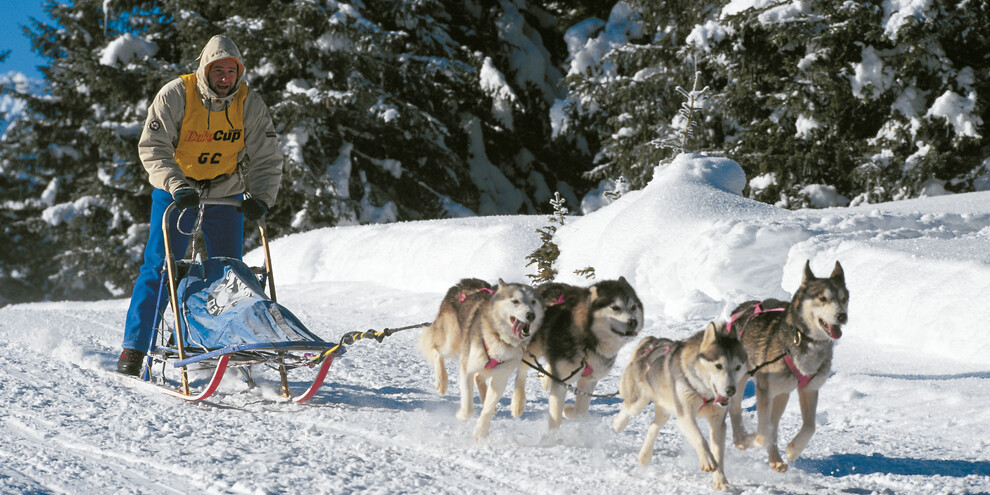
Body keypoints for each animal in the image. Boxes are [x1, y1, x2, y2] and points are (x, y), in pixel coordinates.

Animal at [416, 280, 548, 442]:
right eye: (515, 301)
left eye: (533, 301)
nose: (530, 315)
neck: (500, 339)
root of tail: (463, 282)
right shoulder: (467, 367)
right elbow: (467, 404)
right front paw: (462, 415)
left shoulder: (500, 377)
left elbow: (488, 407)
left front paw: (481, 430)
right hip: (451, 340)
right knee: (436, 351)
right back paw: (442, 382)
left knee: (480, 378)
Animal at [512, 280, 644, 430]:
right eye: (615, 307)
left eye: (633, 307)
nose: (633, 321)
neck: (589, 342)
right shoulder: (561, 381)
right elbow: (555, 414)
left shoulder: (589, 380)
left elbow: (581, 411)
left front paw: (567, 410)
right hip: (533, 348)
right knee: (521, 369)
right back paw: (517, 404)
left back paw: (546, 379)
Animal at [616, 322, 748, 492]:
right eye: (718, 366)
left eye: (738, 367)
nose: (731, 390)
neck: (703, 390)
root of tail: (651, 340)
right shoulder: (685, 416)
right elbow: (700, 438)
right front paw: (707, 460)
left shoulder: (718, 423)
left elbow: (718, 454)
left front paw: (721, 481)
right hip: (639, 402)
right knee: (627, 410)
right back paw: (618, 423)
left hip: (666, 409)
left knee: (654, 425)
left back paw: (644, 456)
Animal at [724, 260, 848, 472]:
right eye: (823, 298)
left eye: (844, 298)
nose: (842, 316)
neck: (804, 340)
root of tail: (739, 310)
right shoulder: (764, 389)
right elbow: (763, 433)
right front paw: (752, 440)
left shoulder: (809, 388)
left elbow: (809, 426)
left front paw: (793, 450)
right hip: (741, 380)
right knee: (735, 409)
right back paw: (742, 439)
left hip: (782, 394)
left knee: (773, 424)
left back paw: (775, 459)